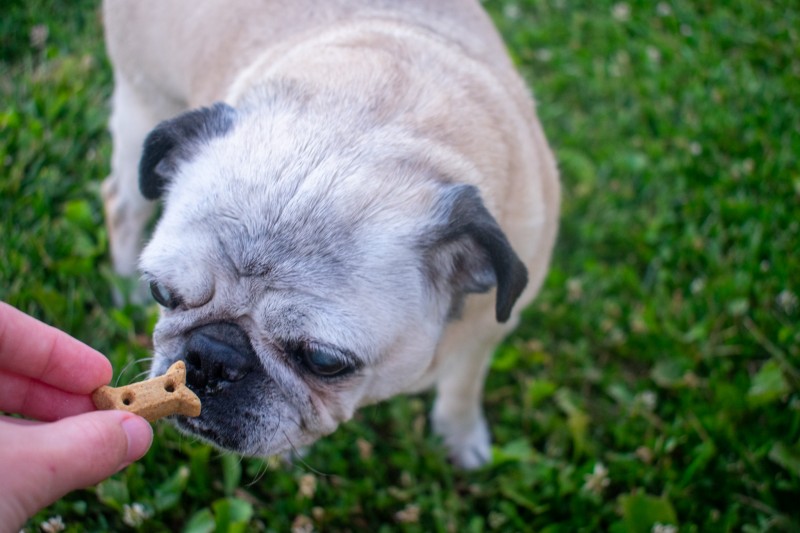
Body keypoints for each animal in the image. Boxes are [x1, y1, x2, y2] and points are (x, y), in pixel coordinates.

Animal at [103, 0, 560, 468]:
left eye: (323, 361)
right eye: (162, 292)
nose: (210, 358)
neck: (371, 121)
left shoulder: (485, 334)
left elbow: (462, 387)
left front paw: (460, 436)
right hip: (144, 105)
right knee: (120, 205)